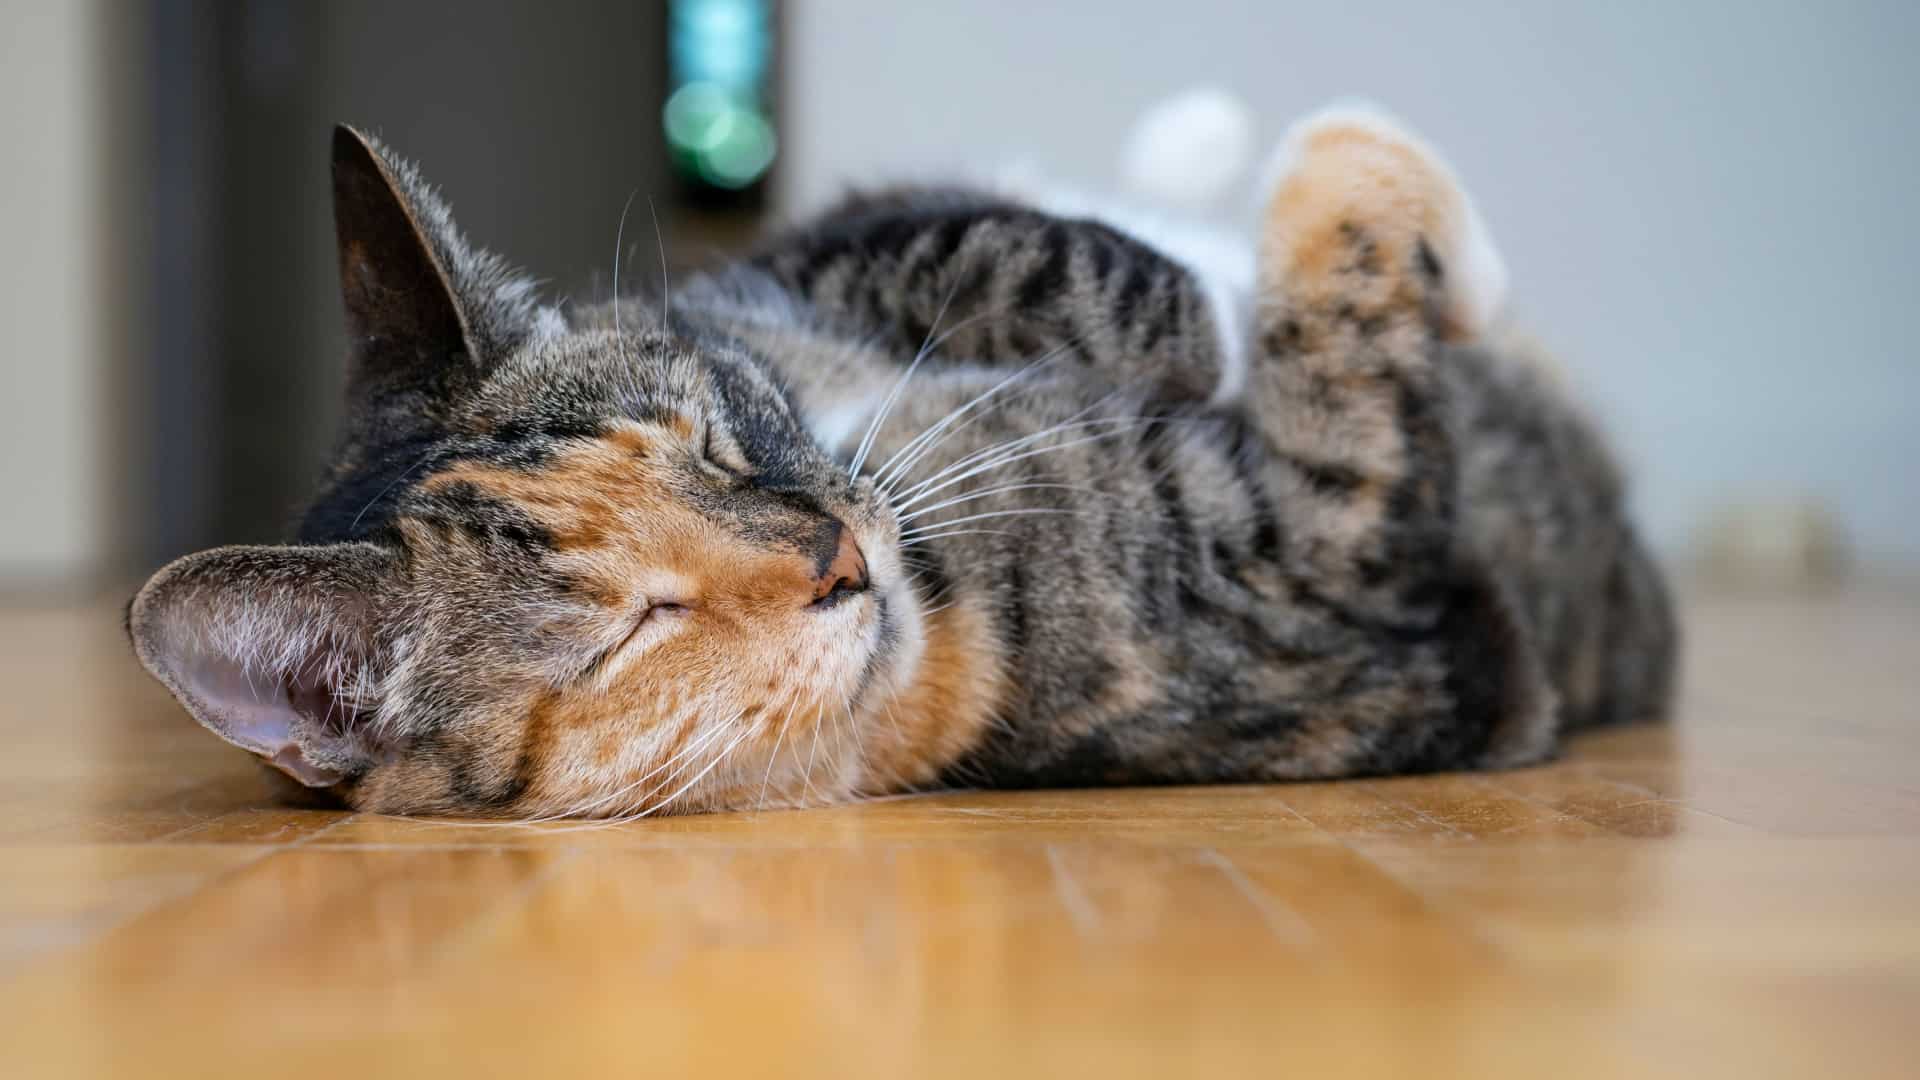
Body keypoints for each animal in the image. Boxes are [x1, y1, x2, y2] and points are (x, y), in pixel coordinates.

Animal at [127, 105, 1674, 818]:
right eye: (634, 630)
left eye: (712, 434)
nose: (836, 553)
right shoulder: (1315, 550)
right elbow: (1336, 256)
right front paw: (1378, 239)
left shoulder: (793, 267)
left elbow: (1008, 242)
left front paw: (1187, 277)